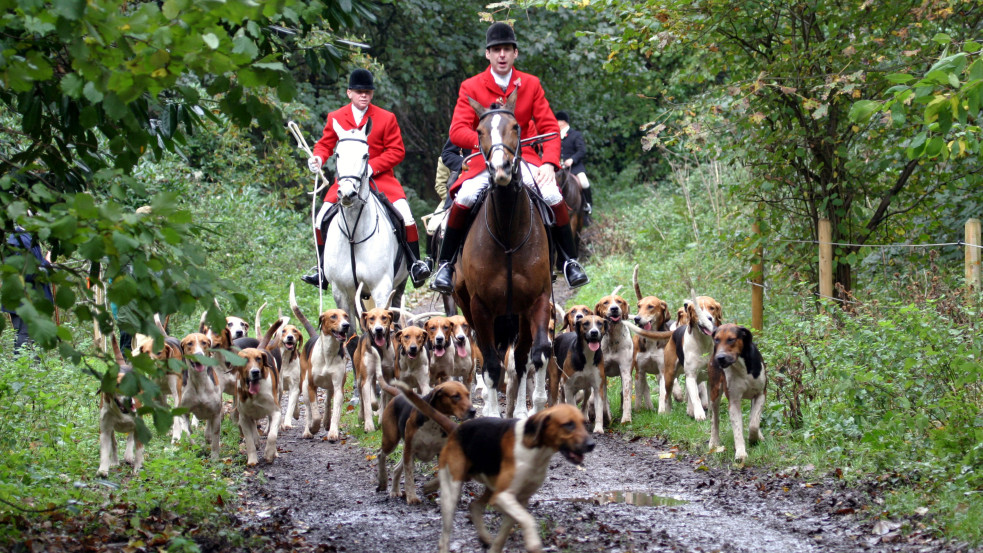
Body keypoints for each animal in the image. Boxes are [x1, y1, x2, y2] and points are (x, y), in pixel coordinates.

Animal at [322, 118, 408, 322]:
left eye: (365, 155)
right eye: (337, 154)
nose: (347, 193)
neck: (353, 236)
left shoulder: (382, 289)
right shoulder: (341, 292)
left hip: (398, 286)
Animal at [454, 92, 552, 416]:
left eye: (516, 127)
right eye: (479, 131)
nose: (500, 169)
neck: (508, 232)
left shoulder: (538, 300)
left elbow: (537, 354)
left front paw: (534, 408)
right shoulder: (480, 307)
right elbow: (490, 364)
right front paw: (491, 414)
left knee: (520, 357)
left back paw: (518, 410)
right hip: (468, 308)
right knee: (488, 358)